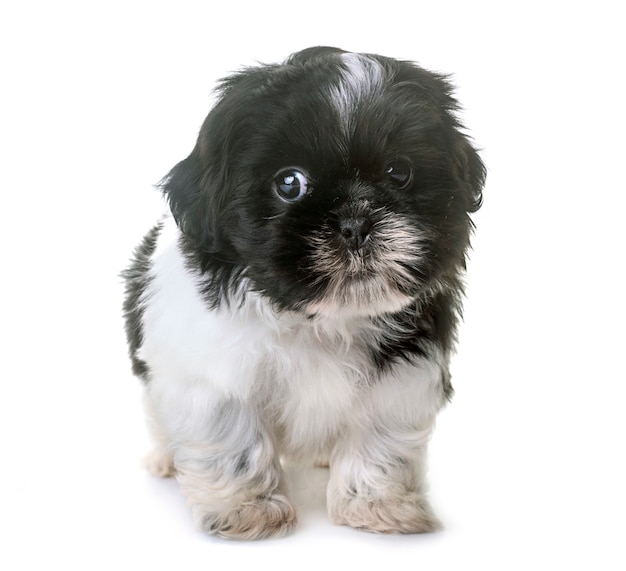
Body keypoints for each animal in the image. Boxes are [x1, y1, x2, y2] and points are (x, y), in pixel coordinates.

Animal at [122, 45, 482, 540]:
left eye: (399, 172)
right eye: (289, 183)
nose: (356, 222)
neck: (322, 316)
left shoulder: (402, 374)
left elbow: (379, 439)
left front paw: (378, 505)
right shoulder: (213, 373)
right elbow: (232, 438)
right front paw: (248, 509)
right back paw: (164, 458)